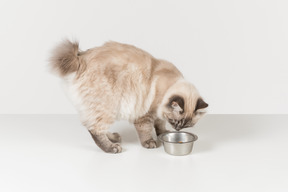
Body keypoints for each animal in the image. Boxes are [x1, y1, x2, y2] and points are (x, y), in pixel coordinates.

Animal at [48, 39, 208, 154]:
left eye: (187, 126)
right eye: (175, 122)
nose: (177, 130)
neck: (165, 87)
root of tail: (80, 58)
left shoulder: (158, 114)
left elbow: (160, 125)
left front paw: (163, 134)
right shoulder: (144, 115)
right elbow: (146, 131)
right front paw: (150, 142)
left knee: (98, 127)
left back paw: (113, 137)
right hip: (107, 106)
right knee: (95, 129)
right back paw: (112, 147)